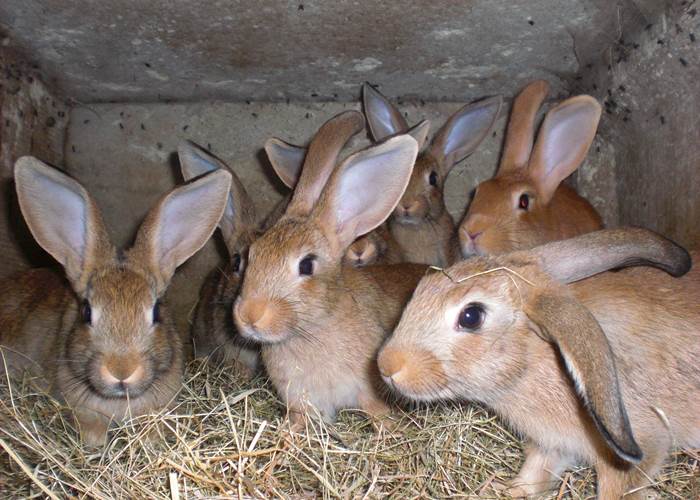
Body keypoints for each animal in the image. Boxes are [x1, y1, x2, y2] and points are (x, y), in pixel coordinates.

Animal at [233, 110, 428, 428]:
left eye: (307, 264)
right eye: (252, 255)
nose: (250, 315)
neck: (311, 330)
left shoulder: (367, 389)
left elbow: (376, 411)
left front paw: (389, 429)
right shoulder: (302, 402)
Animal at [378, 227, 697, 499]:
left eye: (471, 316)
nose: (386, 365)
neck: (539, 357)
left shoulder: (640, 448)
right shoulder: (551, 444)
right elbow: (536, 472)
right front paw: (508, 490)